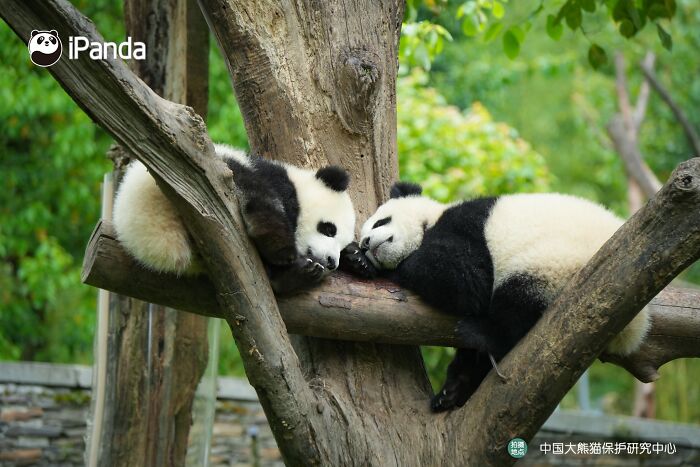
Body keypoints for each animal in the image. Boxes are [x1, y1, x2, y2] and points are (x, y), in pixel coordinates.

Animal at [113, 144, 356, 294]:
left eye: (342, 246)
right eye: (329, 229)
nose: (332, 262)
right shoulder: (273, 177)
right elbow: (266, 199)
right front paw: (285, 253)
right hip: (213, 170)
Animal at [346, 181, 650, 412]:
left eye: (382, 221)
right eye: (365, 239)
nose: (368, 244)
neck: (431, 221)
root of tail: (635, 328)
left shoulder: (465, 227)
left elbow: (465, 281)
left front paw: (381, 267)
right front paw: (358, 260)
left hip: (555, 264)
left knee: (516, 302)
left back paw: (481, 334)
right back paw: (453, 391)